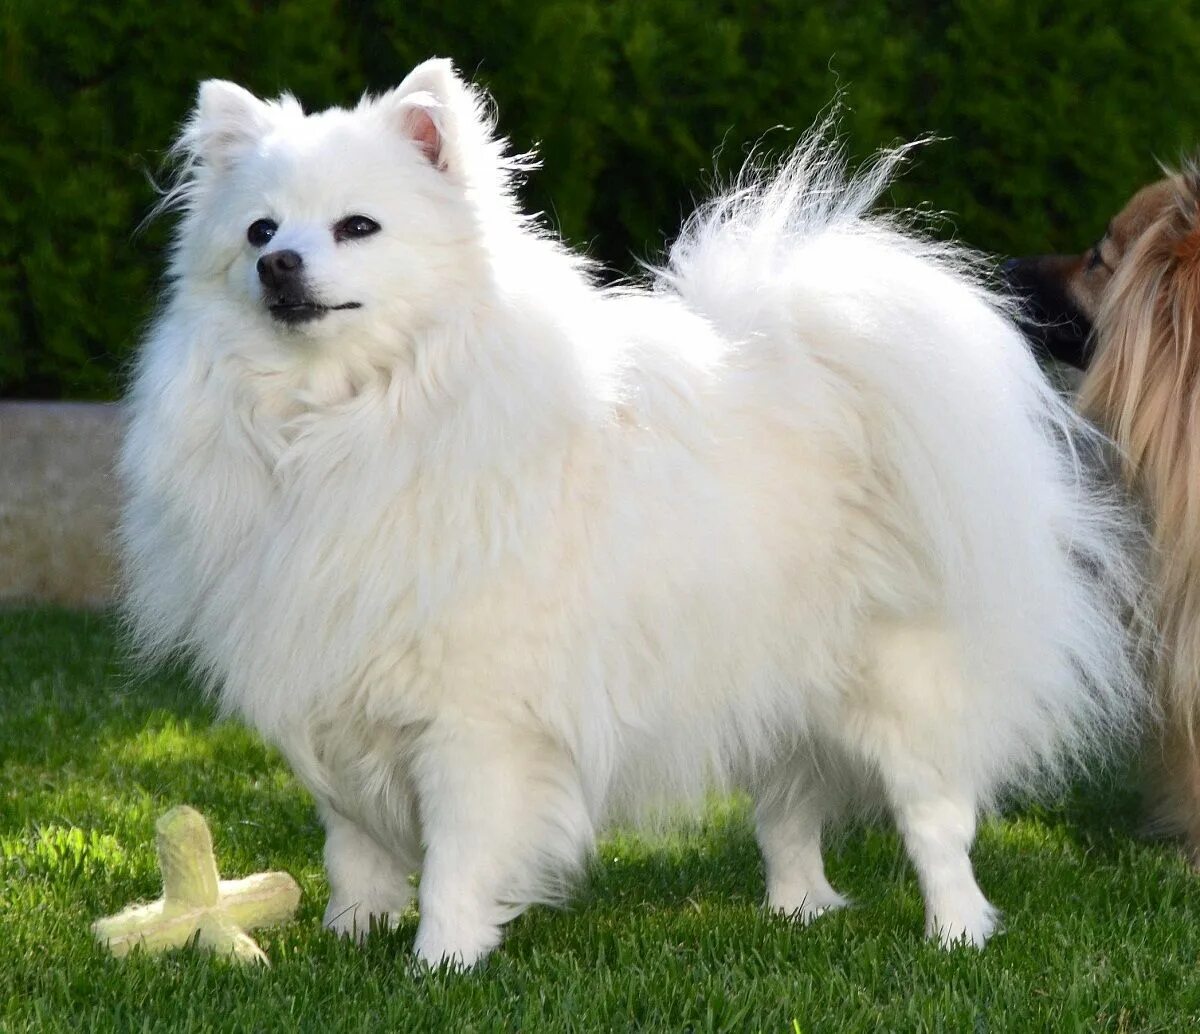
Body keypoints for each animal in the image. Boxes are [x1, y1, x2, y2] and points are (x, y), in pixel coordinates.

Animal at [119, 60, 1142, 969]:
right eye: (258, 231)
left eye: (356, 227)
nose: (280, 264)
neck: (345, 421)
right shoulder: (337, 692)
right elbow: (355, 844)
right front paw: (352, 935)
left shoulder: (475, 719)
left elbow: (456, 852)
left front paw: (440, 960)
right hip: (767, 680)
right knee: (788, 809)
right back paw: (798, 908)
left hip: (895, 687)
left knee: (935, 819)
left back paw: (957, 933)